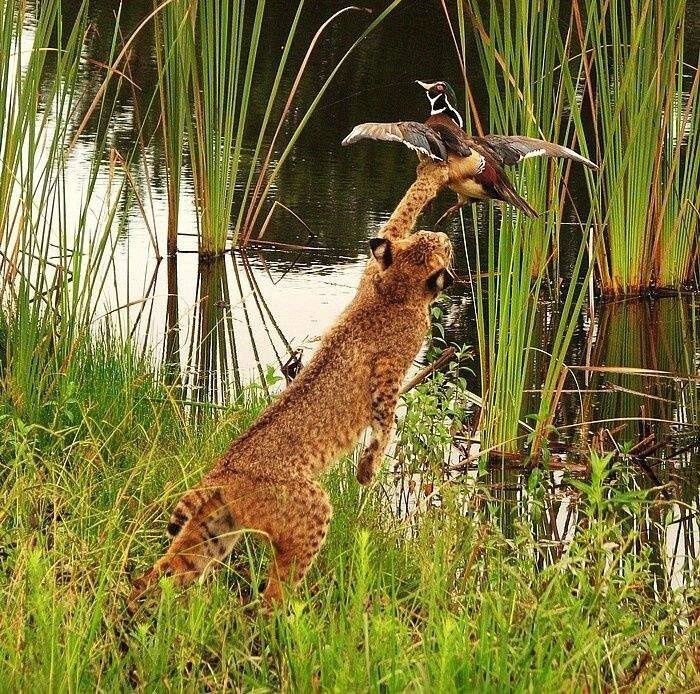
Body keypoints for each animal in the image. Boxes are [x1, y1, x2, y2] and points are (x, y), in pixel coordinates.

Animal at [129, 163, 452, 608]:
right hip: (310, 513)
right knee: (273, 596)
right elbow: (385, 422)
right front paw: (368, 470)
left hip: (214, 530)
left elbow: (400, 212)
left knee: (163, 574)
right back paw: (294, 618)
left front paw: (433, 172)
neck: (393, 289)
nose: (449, 239)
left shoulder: (372, 269)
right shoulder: (389, 369)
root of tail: (224, 468)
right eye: (444, 247)